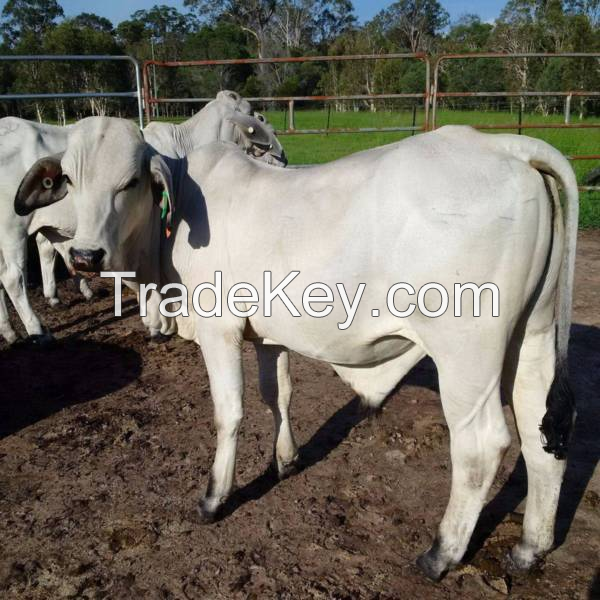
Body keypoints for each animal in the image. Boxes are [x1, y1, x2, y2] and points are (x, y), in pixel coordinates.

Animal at [0, 88, 284, 342]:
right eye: (256, 116)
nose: (282, 156)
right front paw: (156, 327)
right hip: (12, 229)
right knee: (13, 278)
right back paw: (37, 330)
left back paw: (12, 330)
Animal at [16, 117, 580, 580]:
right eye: (70, 180)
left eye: (130, 181)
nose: (85, 255)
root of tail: (505, 145)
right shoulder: (269, 335)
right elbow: (278, 395)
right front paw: (285, 461)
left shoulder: (220, 330)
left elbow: (230, 412)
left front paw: (215, 497)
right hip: (532, 337)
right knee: (542, 438)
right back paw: (529, 549)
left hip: (467, 354)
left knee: (481, 445)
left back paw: (442, 553)